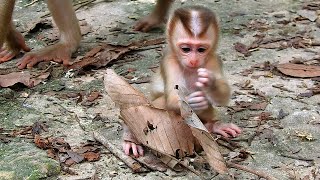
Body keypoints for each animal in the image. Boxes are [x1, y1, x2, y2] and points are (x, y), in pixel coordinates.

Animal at [124, 5, 241, 158]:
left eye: (201, 49)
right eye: (186, 49)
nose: (193, 60)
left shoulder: (213, 60)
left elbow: (223, 97)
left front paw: (210, 82)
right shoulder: (169, 62)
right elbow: (172, 99)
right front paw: (191, 102)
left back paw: (213, 125)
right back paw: (131, 138)